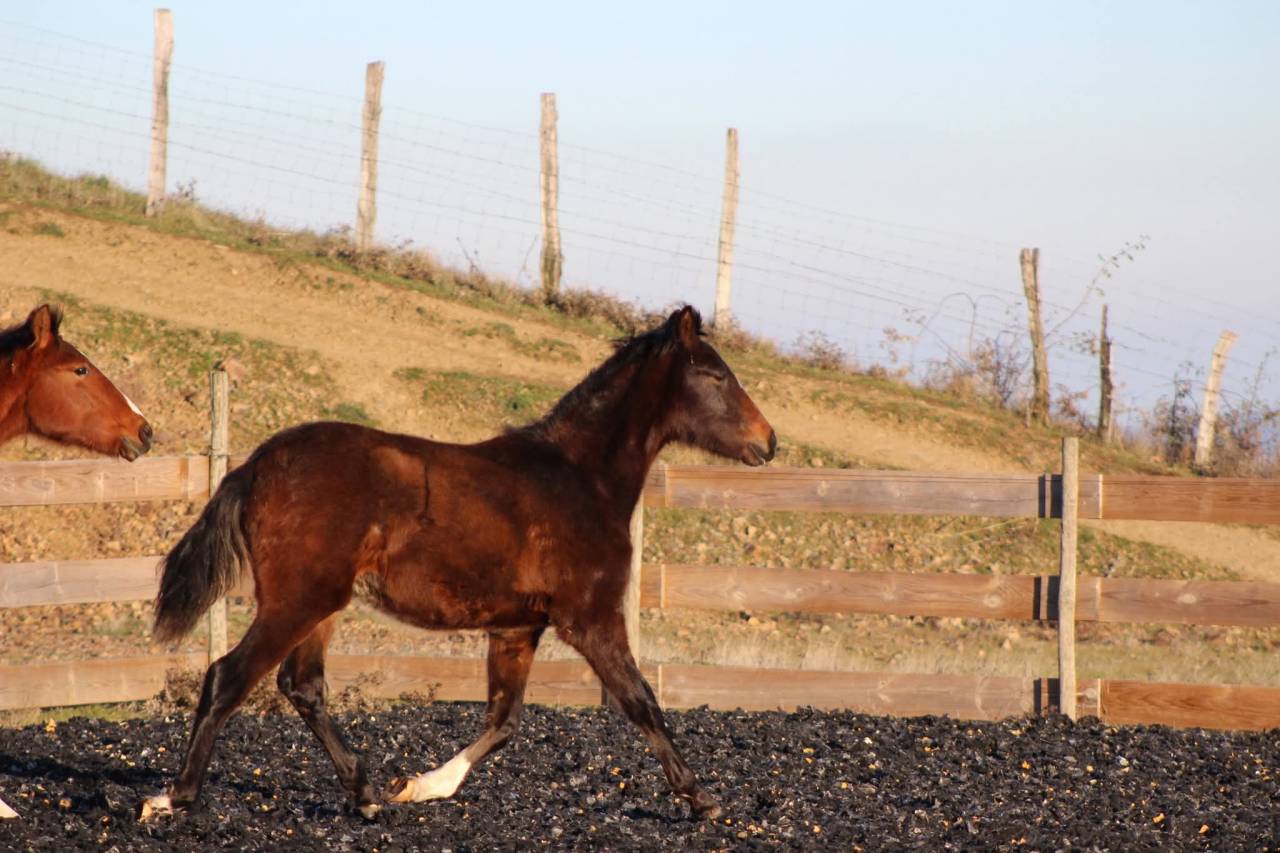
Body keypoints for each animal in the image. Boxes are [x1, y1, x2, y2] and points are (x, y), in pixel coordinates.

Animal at [139, 305, 776, 823]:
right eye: (715, 374)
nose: (768, 442)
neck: (581, 480)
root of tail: (257, 464)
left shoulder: (517, 628)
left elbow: (504, 720)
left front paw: (419, 787)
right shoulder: (591, 618)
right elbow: (642, 702)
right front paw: (703, 799)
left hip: (322, 605)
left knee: (304, 686)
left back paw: (366, 796)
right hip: (298, 600)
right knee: (228, 677)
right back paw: (173, 797)